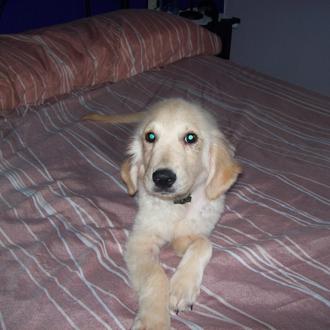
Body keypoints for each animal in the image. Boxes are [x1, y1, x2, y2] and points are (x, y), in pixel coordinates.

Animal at [82, 98, 242, 330]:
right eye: (150, 137)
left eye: (191, 138)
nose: (163, 178)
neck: (177, 204)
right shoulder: (140, 241)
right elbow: (156, 276)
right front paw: (153, 320)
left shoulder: (190, 234)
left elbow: (204, 244)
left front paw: (182, 288)